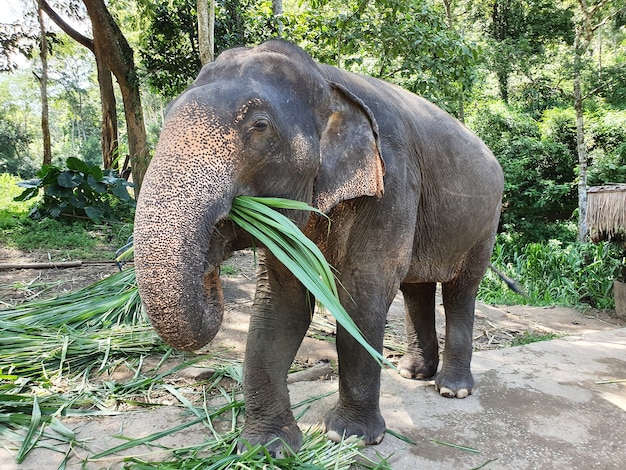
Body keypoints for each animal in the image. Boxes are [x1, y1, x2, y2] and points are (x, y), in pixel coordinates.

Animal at [134, 39, 504, 456]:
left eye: (259, 126)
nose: (209, 270)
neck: (328, 81)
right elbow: (282, 302)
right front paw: (268, 447)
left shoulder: (392, 182)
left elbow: (363, 294)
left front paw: (351, 436)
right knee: (416, 288)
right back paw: (412, 373)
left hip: (486, 219)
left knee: (461, 289)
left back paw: (452, 389)